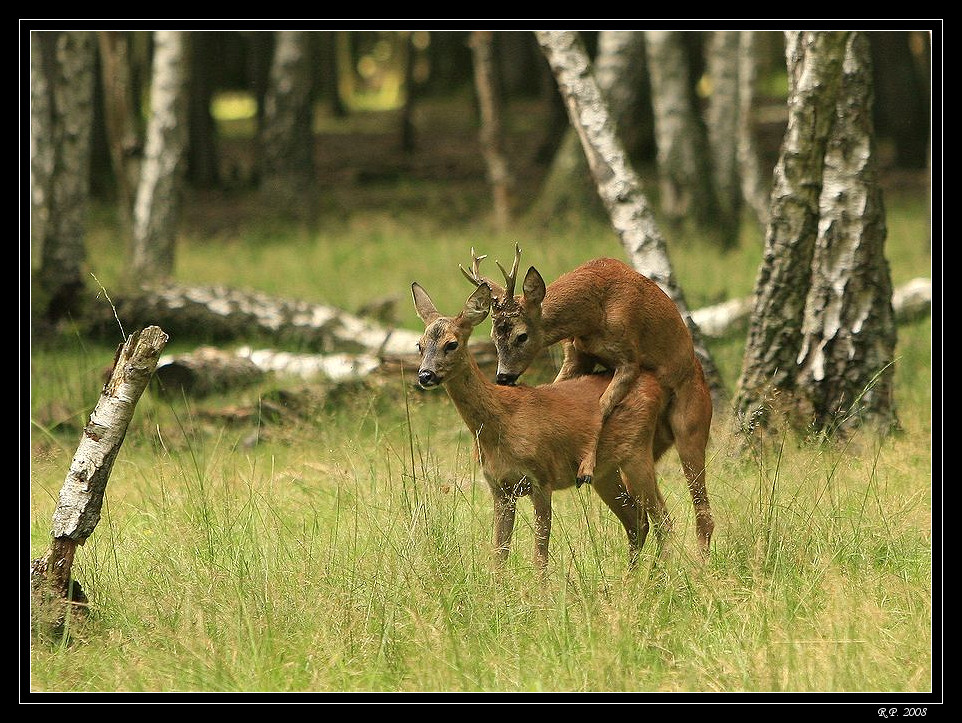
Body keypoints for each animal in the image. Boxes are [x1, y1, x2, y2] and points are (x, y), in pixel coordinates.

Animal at [412, 282, 676, 572]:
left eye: (451, 344)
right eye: (419, 345)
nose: (425, 375)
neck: (501, 426)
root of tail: (653, 380)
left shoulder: (541, 477)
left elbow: (540, 554)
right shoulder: (500, 488)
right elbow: (499, 553)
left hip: (637, 452)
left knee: (663, 520)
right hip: (605, 473)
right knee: (637, 521)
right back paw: (632, 577)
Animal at [458, 246, 712, 556]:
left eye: (522, 336)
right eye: (494, 335)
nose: (503, 376)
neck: (591, 314)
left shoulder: (629, 358)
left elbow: (601, 407)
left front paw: (585, 466)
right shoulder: (576, 355)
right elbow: (560, 390)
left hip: (691, 425)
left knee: (701, 514)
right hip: (640, 455)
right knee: (645, 515)